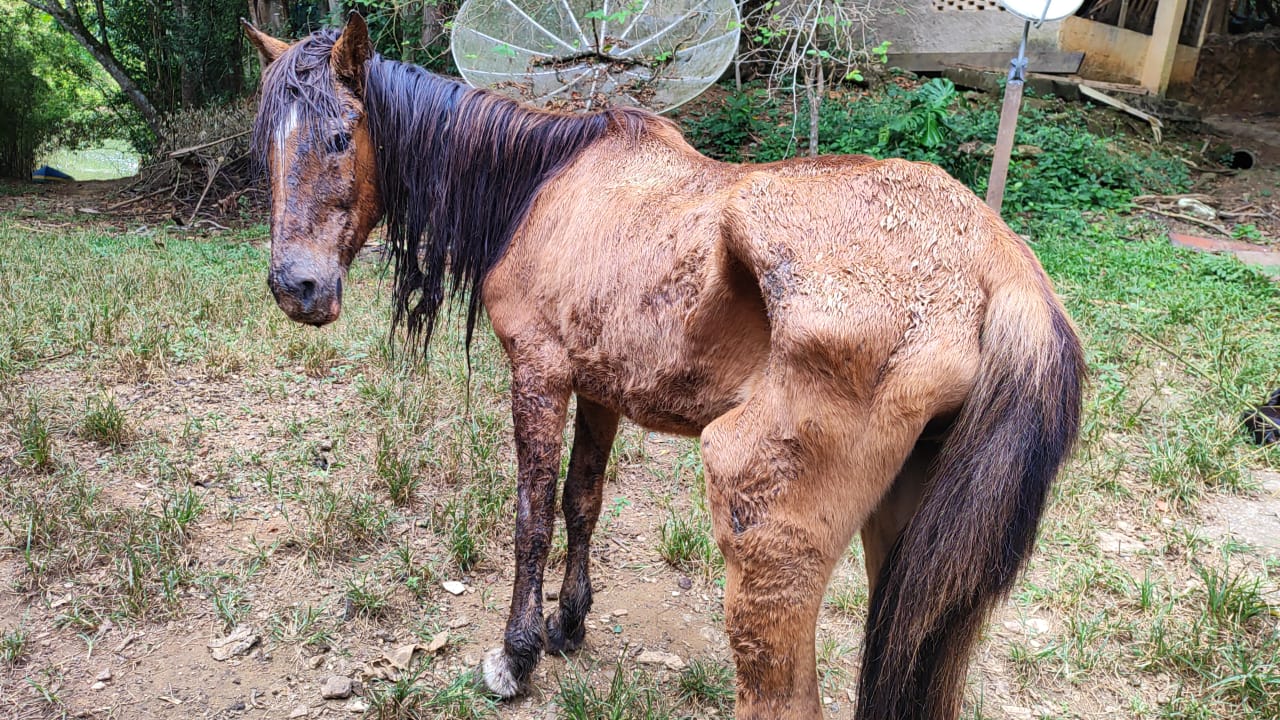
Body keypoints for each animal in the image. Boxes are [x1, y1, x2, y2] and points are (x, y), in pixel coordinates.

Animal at [241, 16, 1080, 717]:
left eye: (341, 136)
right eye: (265, 147)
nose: (296, 287)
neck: (544, 187)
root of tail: (998, 260)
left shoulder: (540, 375)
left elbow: (531, 518)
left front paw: (517, 655)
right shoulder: (600, 389)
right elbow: (581, 502)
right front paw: (568, 622)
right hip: (905, 552)